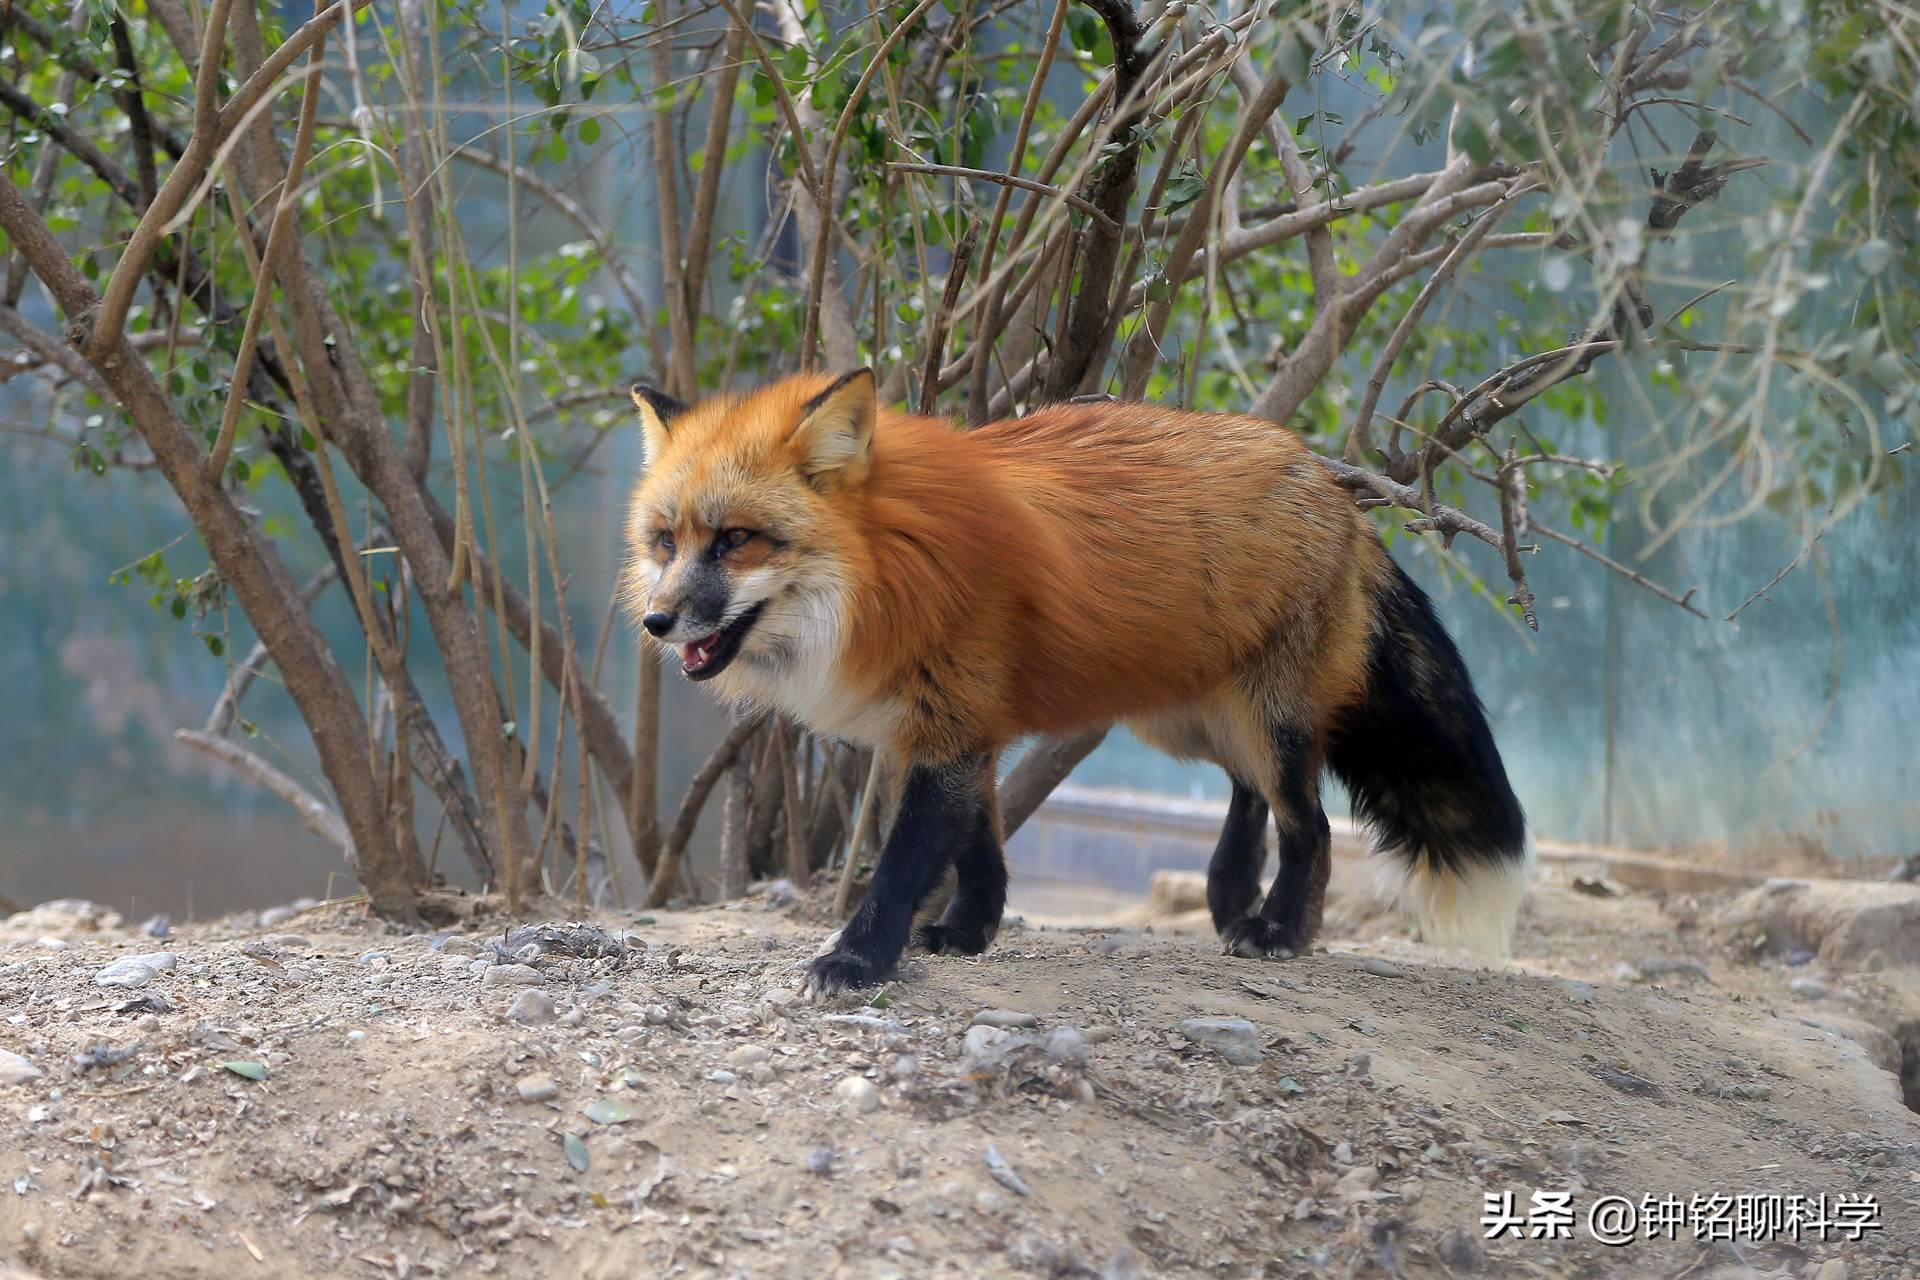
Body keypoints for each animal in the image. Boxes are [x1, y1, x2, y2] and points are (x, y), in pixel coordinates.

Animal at [629, 364, 1528, 997]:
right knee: (1249, 793)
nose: (657, 623)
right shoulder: (955, 730)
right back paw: (1229, 894)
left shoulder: (950, 728)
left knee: (1310, 825)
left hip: (1265, 719)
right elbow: (981, 850)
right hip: (1185, 719)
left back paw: (1278, 930)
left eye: (736, 540)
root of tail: (1335, 485)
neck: (893, 568)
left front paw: (856, 960)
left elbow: (902, 866)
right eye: (666, 541)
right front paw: (969, 934)